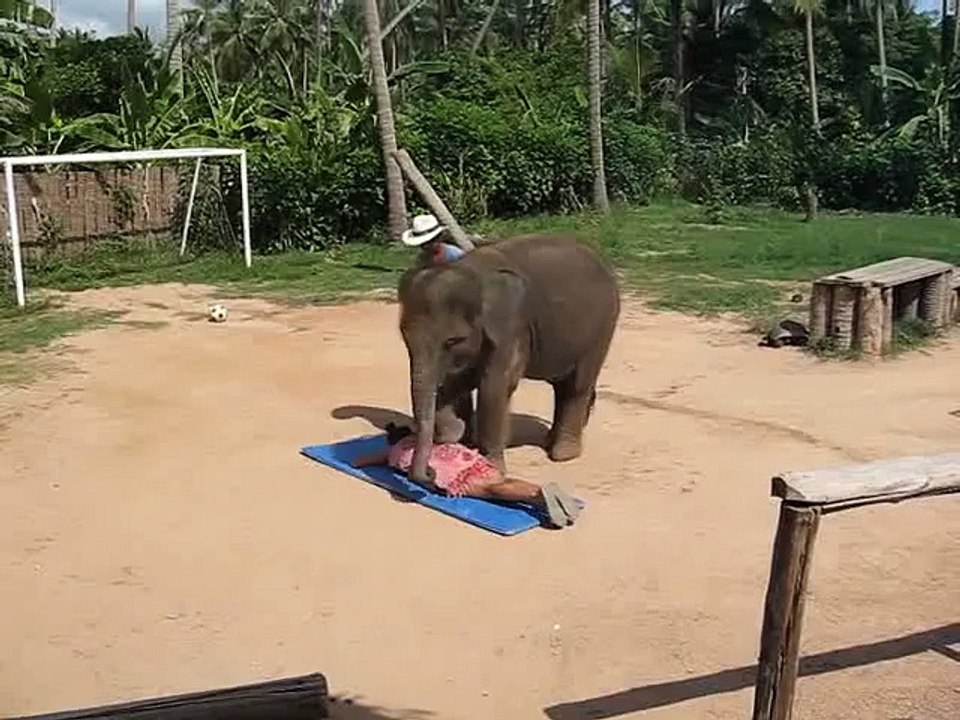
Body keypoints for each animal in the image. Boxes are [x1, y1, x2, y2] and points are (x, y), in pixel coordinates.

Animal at [397, 233, 621, 487]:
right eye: (404, 335)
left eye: (453, 341)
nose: (430, 472)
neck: (471, 270)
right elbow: (459, 380)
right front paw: (455, 434)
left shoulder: (513, 326)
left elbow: (493, 386)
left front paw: (493, 470)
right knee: (562, 385)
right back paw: (550, 440)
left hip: (603, 325)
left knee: (577, 385)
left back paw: (562, 454)